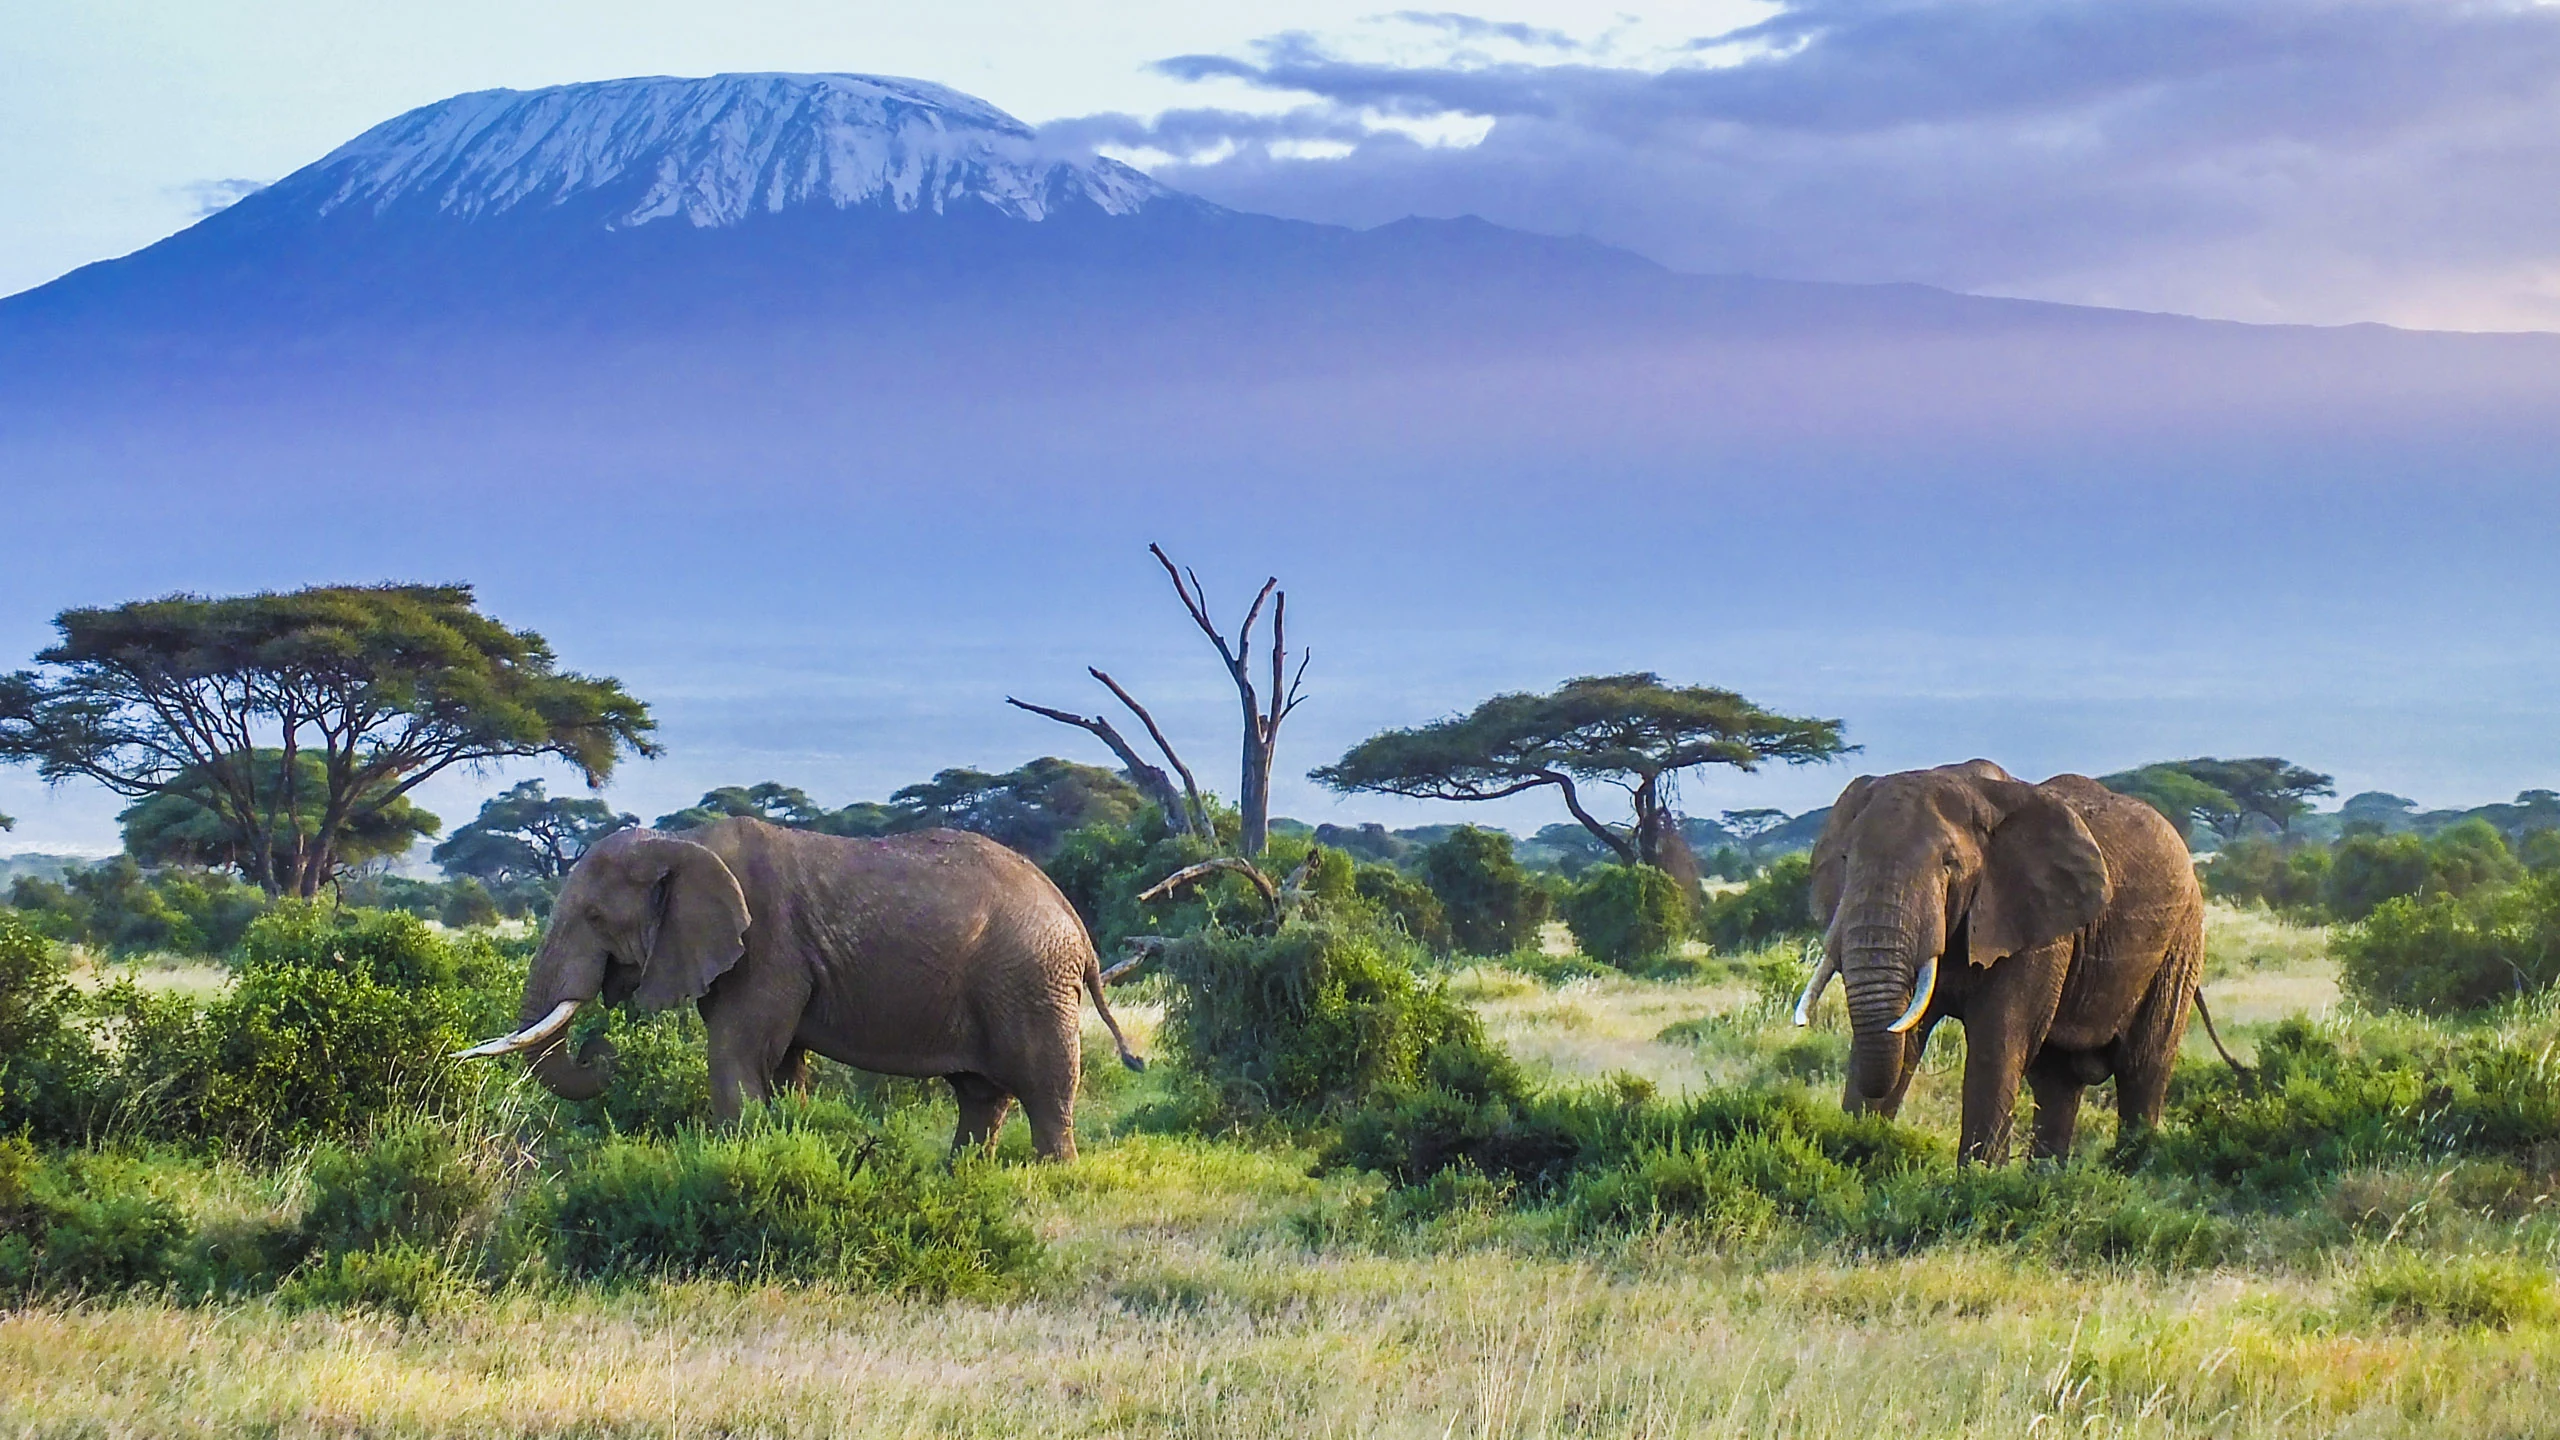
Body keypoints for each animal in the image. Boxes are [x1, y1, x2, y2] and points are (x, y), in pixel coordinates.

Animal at [454, 817, 1143, 1160]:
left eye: (596, 918)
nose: (602, 1049)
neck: (684, 843)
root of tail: (1076, 922)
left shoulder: (766, 945)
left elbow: (737, 1054)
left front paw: (736, 1160)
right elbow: (781, 1063)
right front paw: (785, 1139)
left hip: (1028, 979)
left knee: (1044, 1086)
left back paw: (1052, 1175)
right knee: (980, 1094)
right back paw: (963, 1175)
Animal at [1792, 760, 2206, 1164]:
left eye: (1949, 864)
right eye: (1846, 859)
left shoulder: (2035, 924)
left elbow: (1998, 1042)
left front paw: (1977, 1178)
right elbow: (1904, 1035)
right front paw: (1856, 1154)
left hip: (2182, 940)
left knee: (2143, 1067)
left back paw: (2128, 1168)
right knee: (2057, 1080)